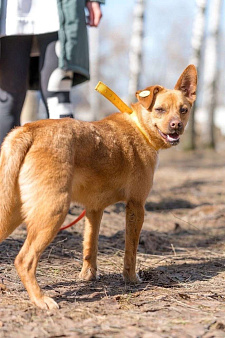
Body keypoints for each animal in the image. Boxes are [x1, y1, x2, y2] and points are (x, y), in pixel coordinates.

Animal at [0, 64, 197, 308]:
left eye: (183, 110)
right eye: (160, 109)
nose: (176, 126)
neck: (139, 127)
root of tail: (26, 131)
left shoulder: (94, 209)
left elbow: (90, 246)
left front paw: (88, 276)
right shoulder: (136, 206)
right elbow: (130, 250)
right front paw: (131, 279)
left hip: (12, 211)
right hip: (53, 211)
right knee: (24, 260)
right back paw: (40, 300)